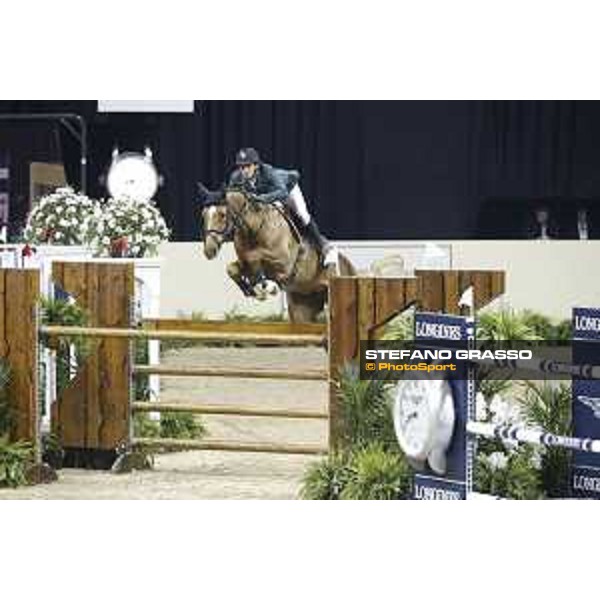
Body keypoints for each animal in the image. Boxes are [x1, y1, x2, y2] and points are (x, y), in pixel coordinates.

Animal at [202, 189, 354, 324]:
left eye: (222, 214)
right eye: (203, 215)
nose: (209, 250)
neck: (255, 228)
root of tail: (349, 265)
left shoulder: (284, 264)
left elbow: (254, 256)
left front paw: (266, 288)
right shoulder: (244, 263)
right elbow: (232, 268)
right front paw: (253, 290)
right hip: (302, 305)